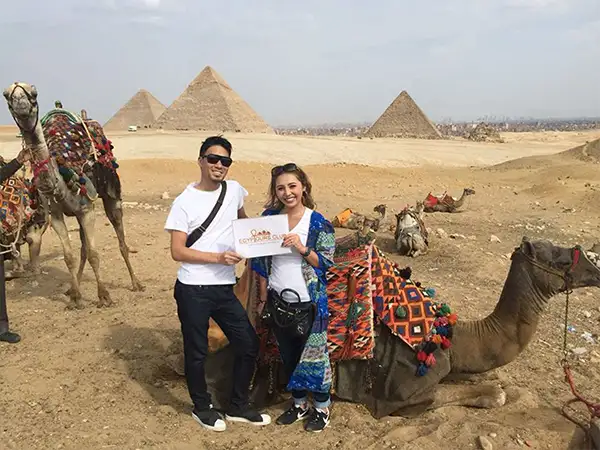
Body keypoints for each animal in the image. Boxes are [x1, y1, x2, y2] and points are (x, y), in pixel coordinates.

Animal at [3, 81, 143, 310]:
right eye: (6, 95)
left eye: (33, 93)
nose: (21, 104)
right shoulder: (56, 216)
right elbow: (69, 256)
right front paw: (75, 298)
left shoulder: (87, 209)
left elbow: (95, 254)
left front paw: (104, 296)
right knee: (83, 248)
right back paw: (71, 289)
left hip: (111, 194)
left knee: (120, 239)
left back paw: (136, 282)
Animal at [168, 234, 600, 420]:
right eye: (559, 258)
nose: (594, 269)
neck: (453, 336)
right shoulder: (397, 397)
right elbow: (462, 395)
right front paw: (494, 393)